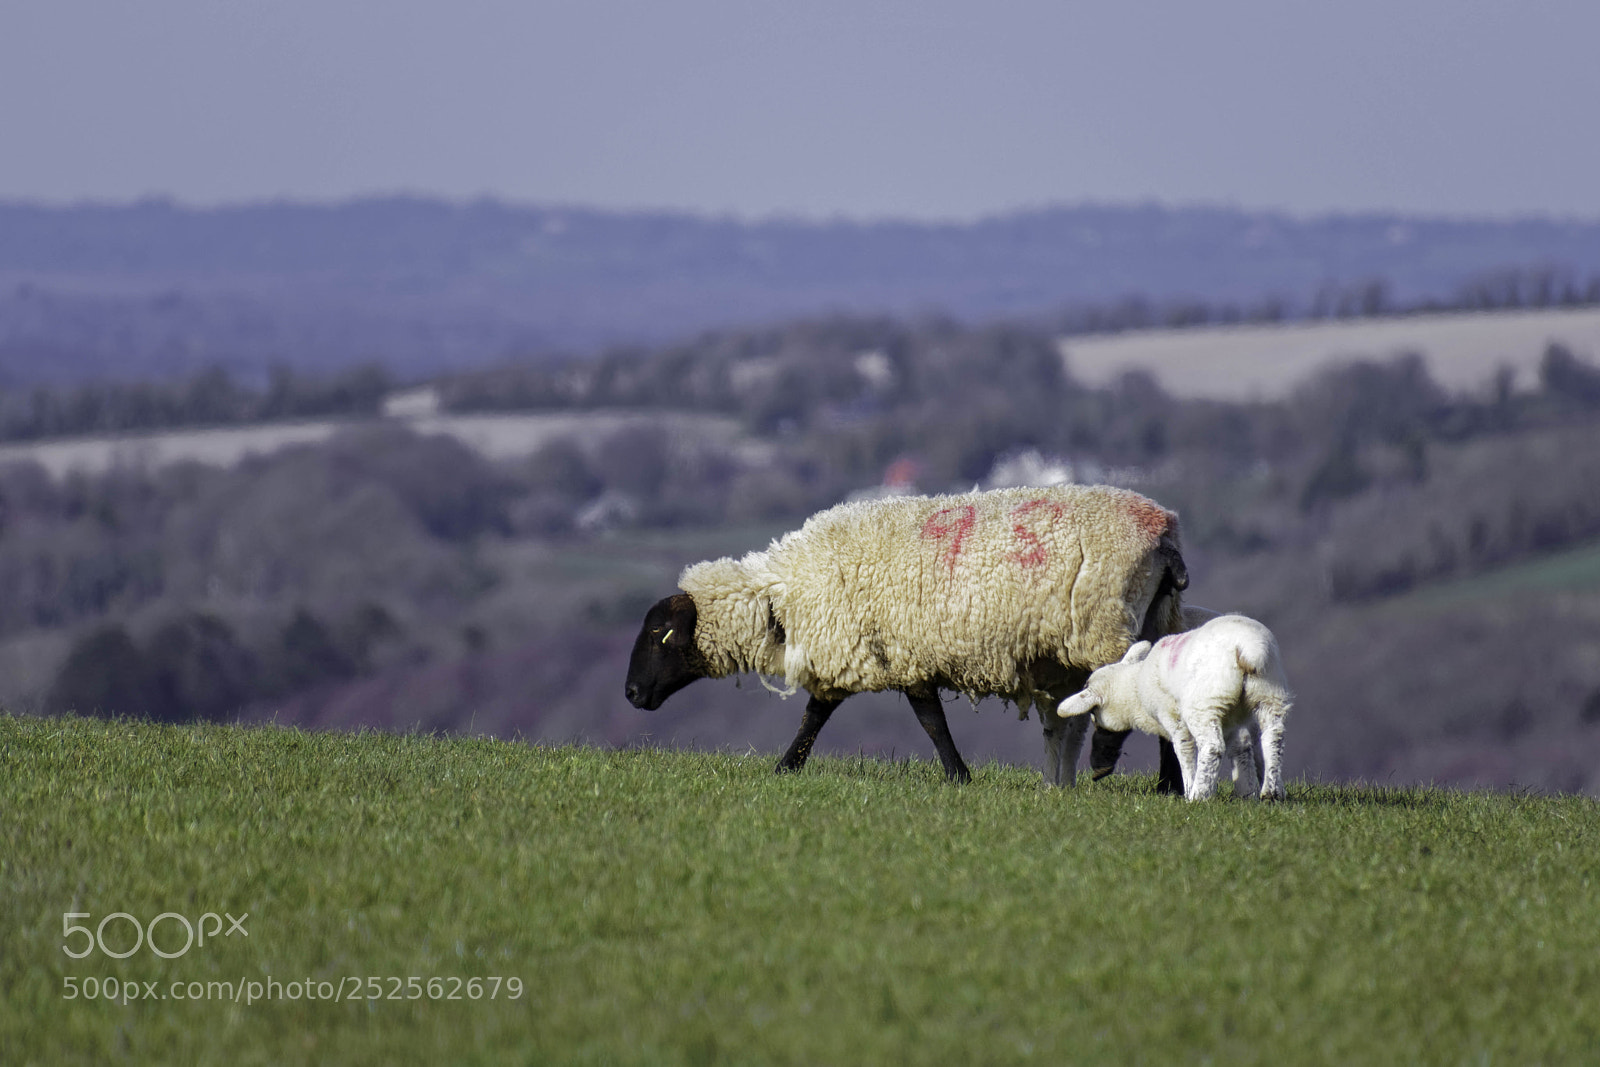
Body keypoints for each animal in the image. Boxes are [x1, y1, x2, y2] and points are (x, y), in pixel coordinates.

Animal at [624, 484, 1188, 785]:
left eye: (658, 633)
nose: (630, 693)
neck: (784, 598)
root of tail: (1163, 533)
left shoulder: (901, 654)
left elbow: (930, 723)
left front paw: (958, 776)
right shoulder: (864, 653)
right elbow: (816, 716)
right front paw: (786, 768)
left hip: (1105, 623)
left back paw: (1122, 768)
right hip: (1157, 618)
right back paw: (1165, 784)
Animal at [1055, 613, 1290, 800]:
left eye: (1094, 712)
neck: (1135, 687)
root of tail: (1248, 649)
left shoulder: (1171, 715)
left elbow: (1184, 750)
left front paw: (1189, 788)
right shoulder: (1233, 719)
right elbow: (1241, 747)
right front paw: (1246, 792)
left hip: (1205, 702)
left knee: (1212, 747)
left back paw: (1199, 795)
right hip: (1269, 691)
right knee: (1273, 737)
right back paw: (1272, 793)